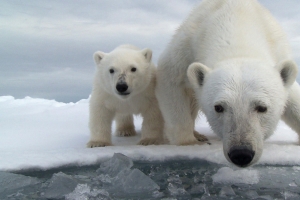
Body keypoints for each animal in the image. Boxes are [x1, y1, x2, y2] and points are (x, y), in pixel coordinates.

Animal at [157, 0, 300, 167]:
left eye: (262, 107)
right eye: (218, 107)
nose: (241, 154)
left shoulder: (278, 50)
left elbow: (293, 99)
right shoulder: (187, 46)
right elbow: (171, 79)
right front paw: (189, 142)